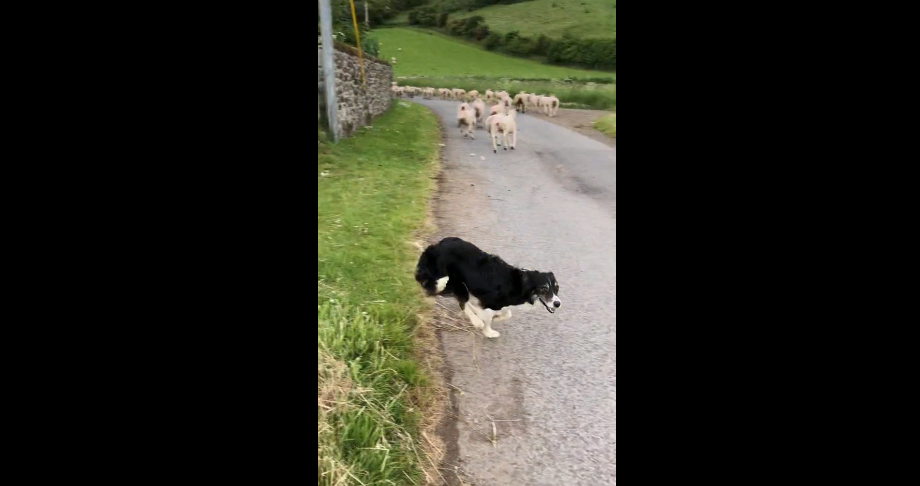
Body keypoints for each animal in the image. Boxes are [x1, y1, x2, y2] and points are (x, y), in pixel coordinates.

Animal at [416, 236, 560, 338]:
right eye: (544, 288)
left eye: (556, 288)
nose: (558, 303)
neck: (520, 284)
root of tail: (436, 246)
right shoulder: (490, 300)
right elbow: (488, 318)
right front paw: (488, 331)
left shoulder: (496, 303)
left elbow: (506, 313)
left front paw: (495, 317)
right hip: (453, 281)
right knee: (461, 302)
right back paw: (476, 320)